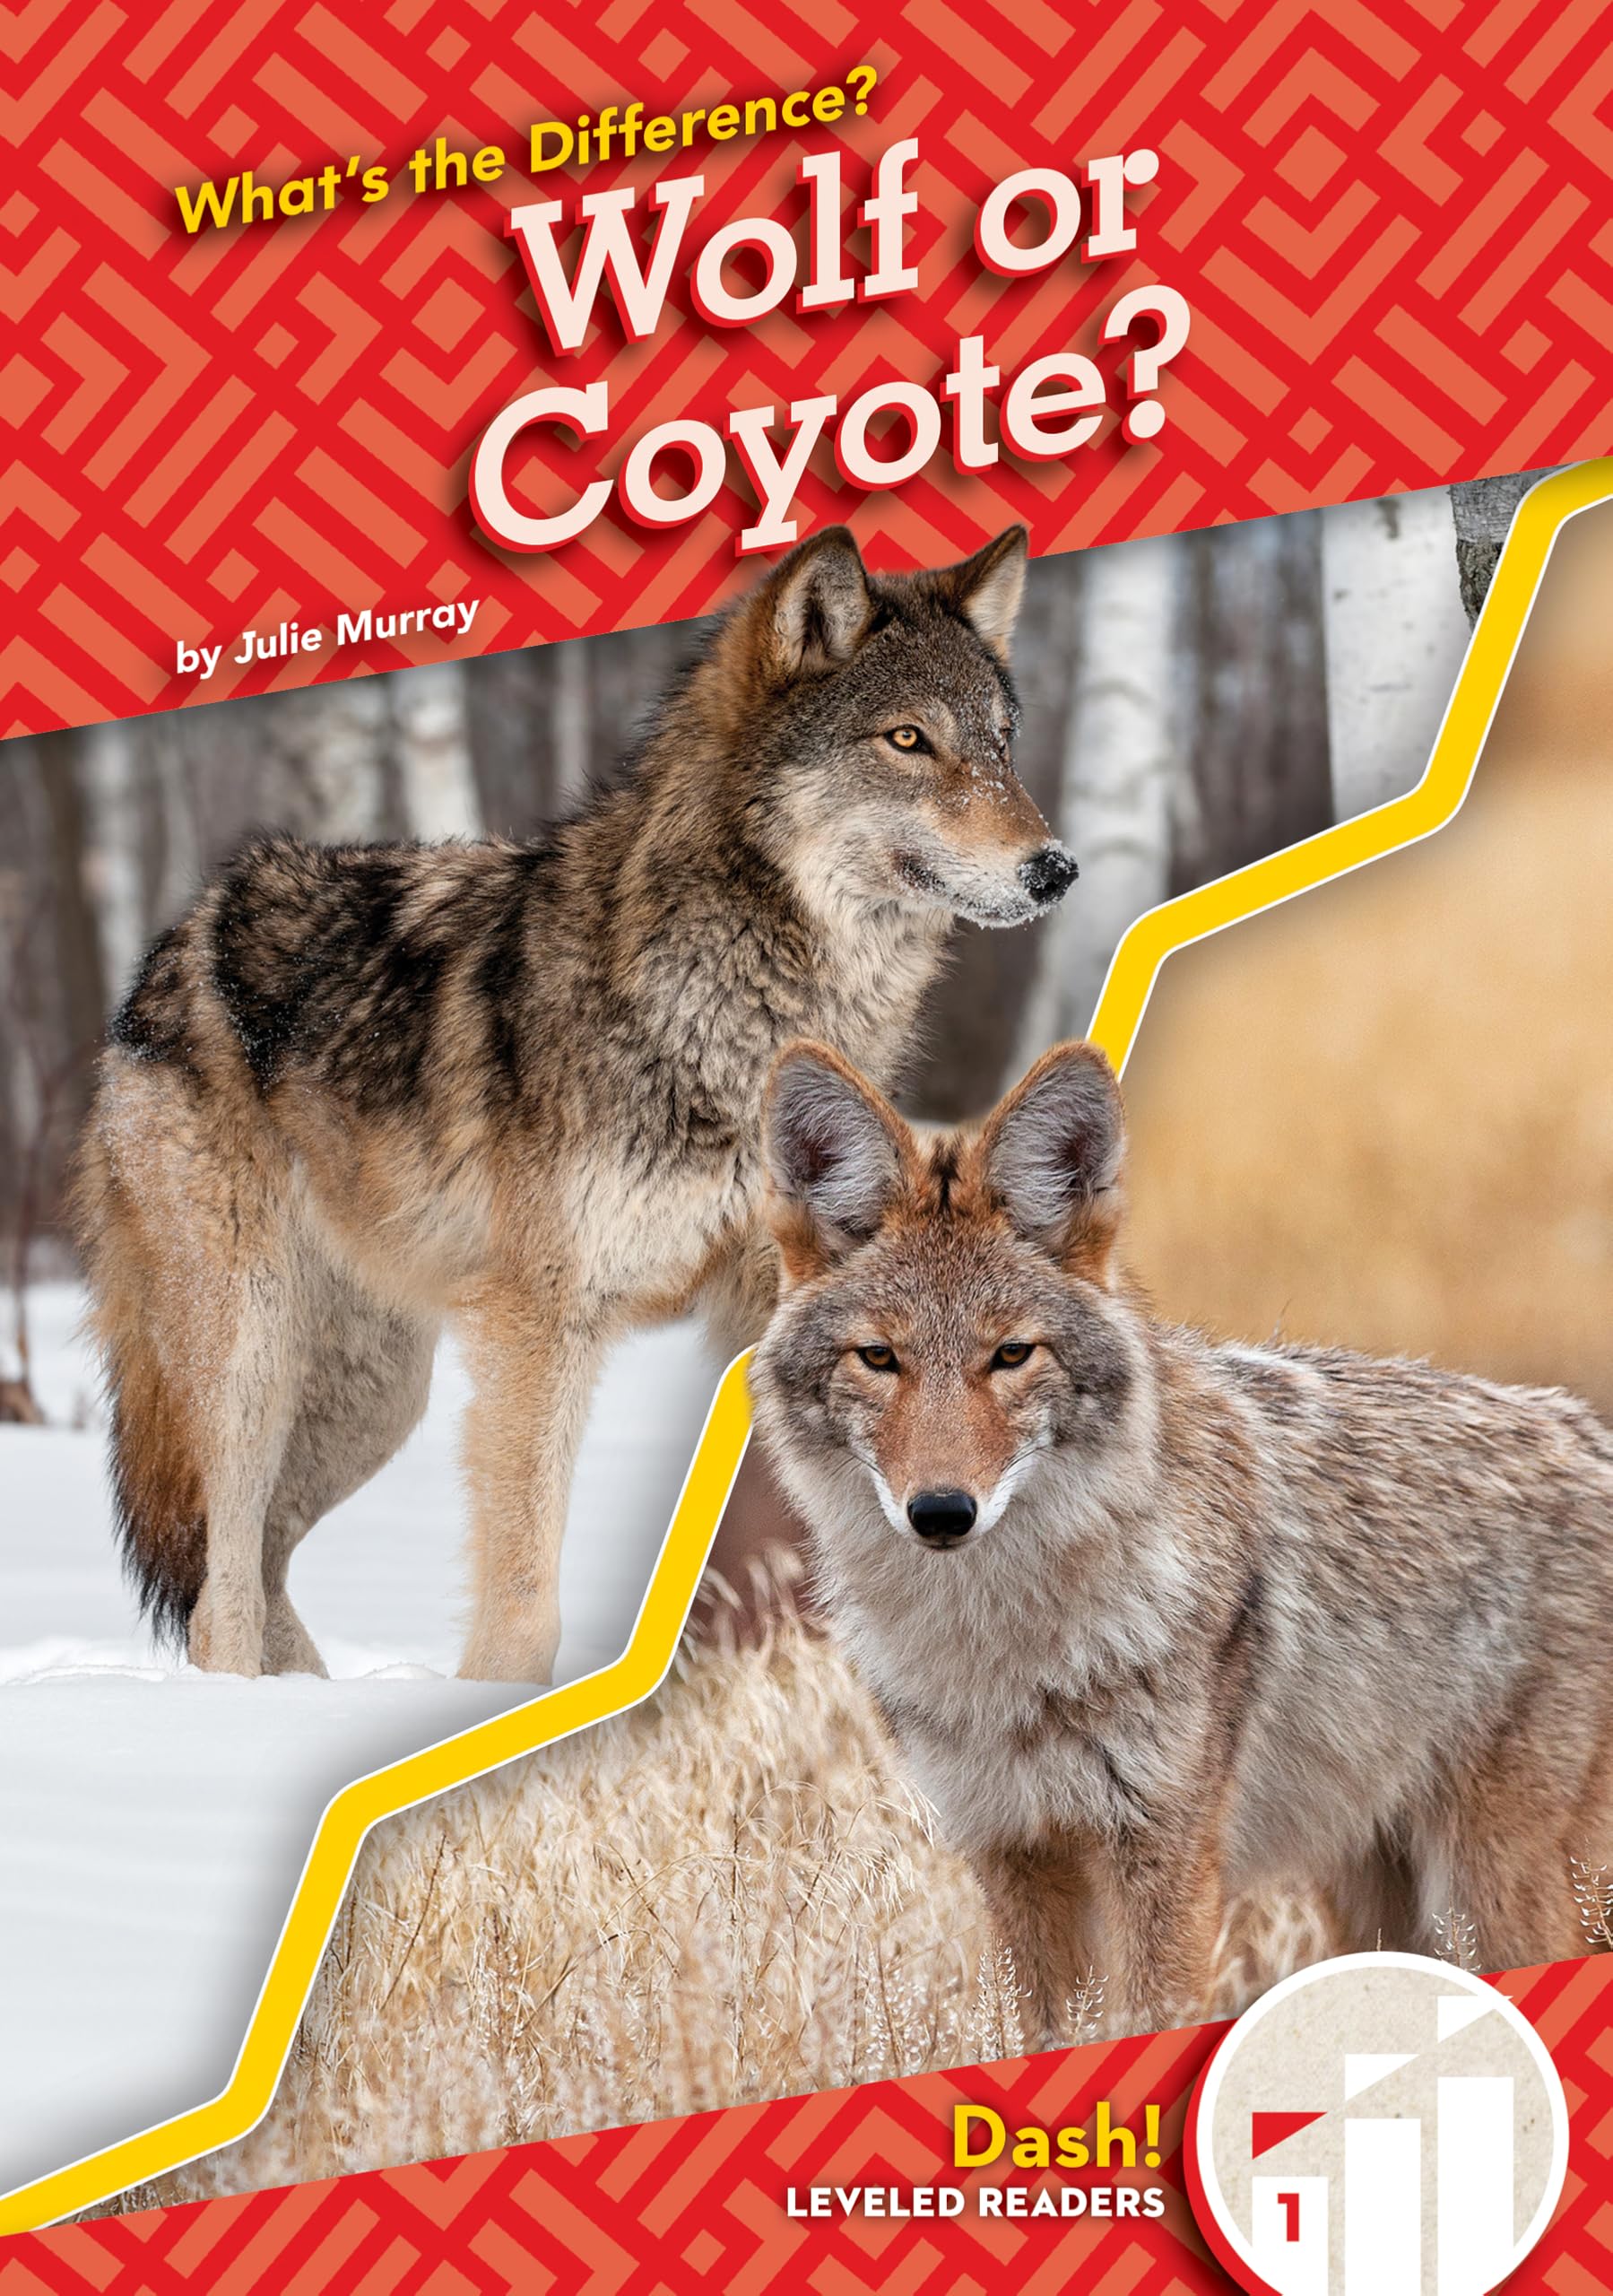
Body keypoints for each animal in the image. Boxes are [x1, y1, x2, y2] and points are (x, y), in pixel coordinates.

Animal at [73, 524, 1074, 1684]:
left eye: (1001, 743)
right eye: (907, 739)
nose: (1055, 868)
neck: (736, 1016)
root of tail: (179, 932)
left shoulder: (763, 1313)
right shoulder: (539, 1325)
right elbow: (523, 1600)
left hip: (374, 1398)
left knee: (264, 1563)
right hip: (250, 1361)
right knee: (220, 1587)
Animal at [751, 1037, 1613, 2039]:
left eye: (1011, 1356)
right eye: (878, 1359)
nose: (940, 1511)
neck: (1001, 1649)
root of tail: (1591, 1435)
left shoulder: (1161, 1859)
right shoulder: (1015, 1858)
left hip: (1491, 1890)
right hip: (1376, 1893)